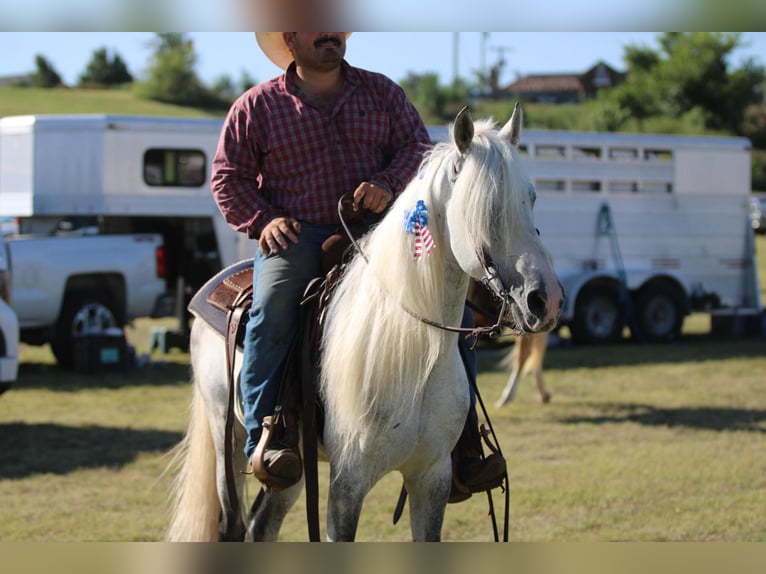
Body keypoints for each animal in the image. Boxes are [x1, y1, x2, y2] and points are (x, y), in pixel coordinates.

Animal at [165, 104, 564, 542]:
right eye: (486, 207)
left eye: (531, 197)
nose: (545, 299)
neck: (411, 350)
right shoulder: (347, 485)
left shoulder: (432, 477)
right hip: (228, 438)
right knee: (233, 525)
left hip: (294, 470)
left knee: (262, 523)